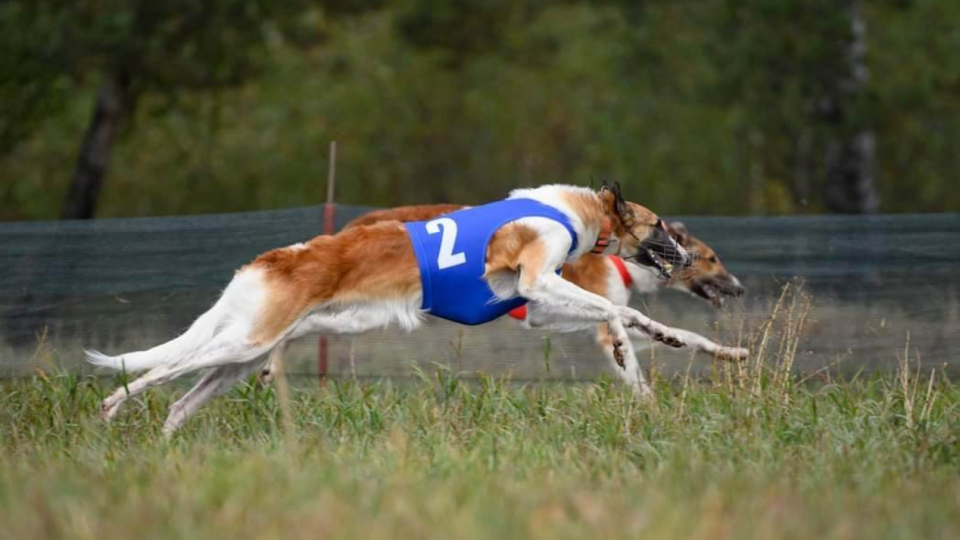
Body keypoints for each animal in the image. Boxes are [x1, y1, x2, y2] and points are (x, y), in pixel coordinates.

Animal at [86, 182, 688, 434]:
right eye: (659, 225)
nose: (685, 256)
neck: (574, 209)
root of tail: (271, 259)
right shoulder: (537, 280)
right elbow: (618, 309)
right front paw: (649, 337)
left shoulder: (534, 304)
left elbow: (613, 314)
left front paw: (650, 345)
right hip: (243, 344)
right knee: (156, 372)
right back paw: (110, 408)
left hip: (241, 359)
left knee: (178, 405)